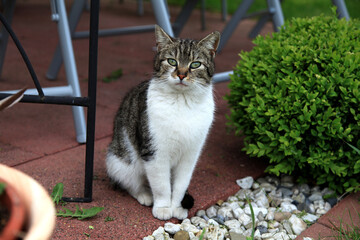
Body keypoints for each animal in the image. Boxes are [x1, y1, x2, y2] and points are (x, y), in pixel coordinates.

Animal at [105, 25, 221, 219]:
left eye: (195, 64)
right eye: (172, 61)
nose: (181, 74)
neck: (182, 102)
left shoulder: (191, 154)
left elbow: (181, 184)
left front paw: (177, 207)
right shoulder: (155, 152)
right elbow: (161, 185)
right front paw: (163, 207)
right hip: (121, 162)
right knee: (131, 182)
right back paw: (144, 194)